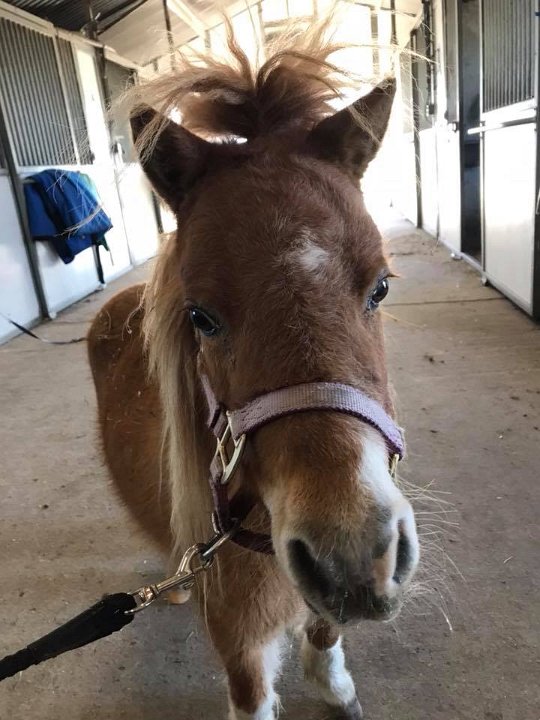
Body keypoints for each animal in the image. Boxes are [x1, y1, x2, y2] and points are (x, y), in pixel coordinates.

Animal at [87, 21, 420, 720]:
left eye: (380, 288)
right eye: (202, 317)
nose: (351, 555)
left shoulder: (317, 603)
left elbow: (324, 634)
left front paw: (335, 689)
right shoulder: (238, 642)